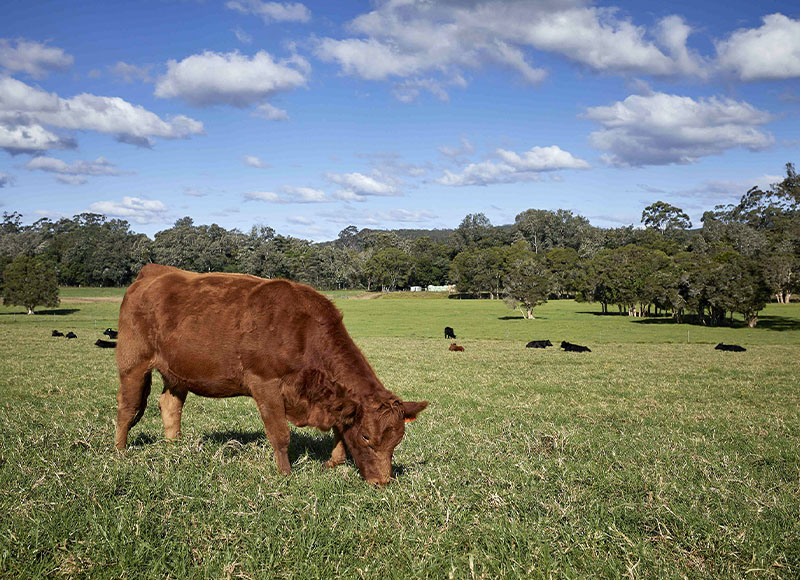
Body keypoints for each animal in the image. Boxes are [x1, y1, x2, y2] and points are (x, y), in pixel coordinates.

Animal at [115, 266, 428, 488]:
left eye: (397, 441)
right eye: (366, 436)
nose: (382, 482)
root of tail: (153, 272)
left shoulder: (334, 398)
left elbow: (340, 428)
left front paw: (333, 463)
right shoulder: (265, 383)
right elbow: (280, 434)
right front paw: (286, 475)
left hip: (177, 372)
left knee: (170, 405)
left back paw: (175, 447)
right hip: (133, 363)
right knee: (127, 408)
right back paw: (120, 451)